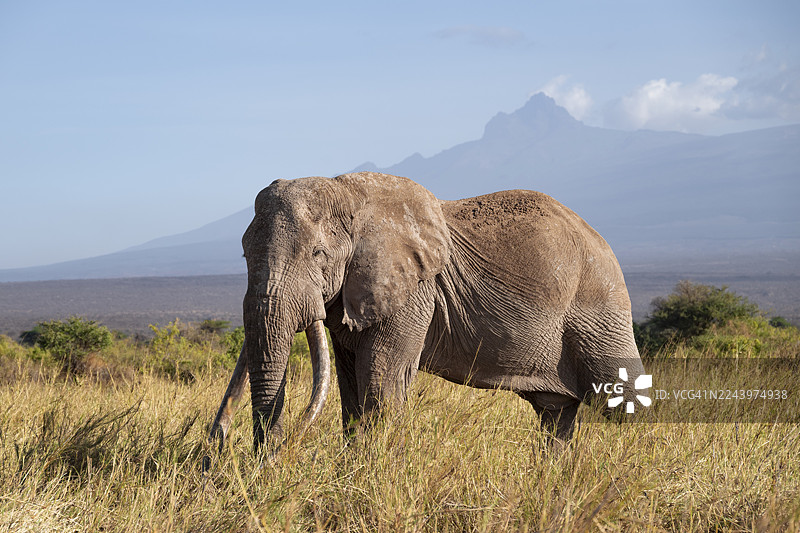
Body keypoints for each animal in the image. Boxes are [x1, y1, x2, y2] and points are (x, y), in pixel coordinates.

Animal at [207, 171, 645, 460]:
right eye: (244, 254)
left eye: (319, 255)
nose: (220, 446)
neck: (349, 191)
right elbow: (350, 380)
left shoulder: (415, 289)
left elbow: (382, 374)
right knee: (557, 414)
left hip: (598, 308)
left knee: (623, 402)